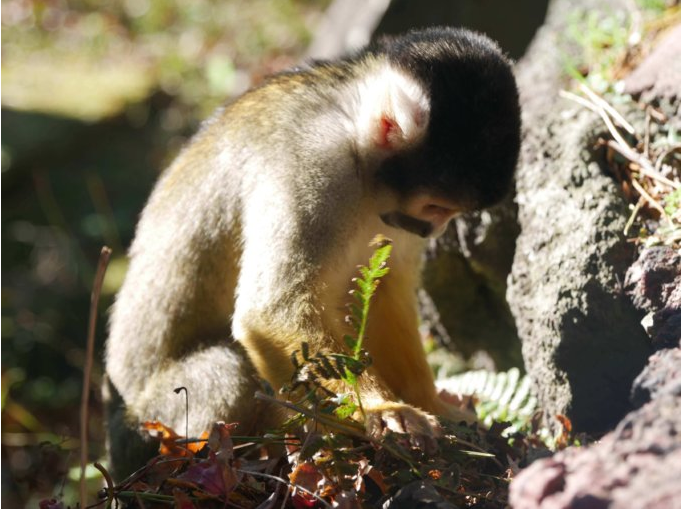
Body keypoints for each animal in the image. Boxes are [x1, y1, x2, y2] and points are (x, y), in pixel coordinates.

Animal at [105, 26, 520, 472]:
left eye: (447, 214)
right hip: (148, 422)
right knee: (228, 371)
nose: (434, 229)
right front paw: (380, 410)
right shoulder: (311, 163)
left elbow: (383, 290)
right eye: (436, 208)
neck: (357, 151)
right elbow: (270, 313)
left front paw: (429, 403)